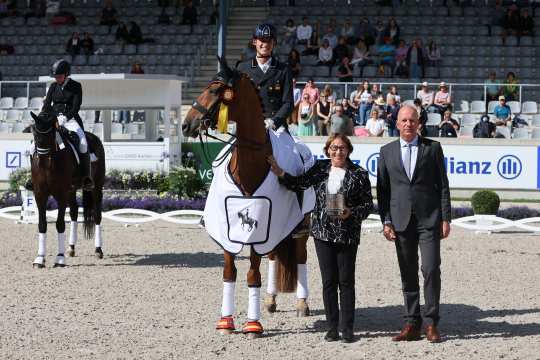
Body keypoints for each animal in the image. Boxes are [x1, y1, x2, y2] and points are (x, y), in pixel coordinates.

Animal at [29, 111, 105, 268]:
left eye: (51, 135)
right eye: (35, 135)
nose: (42, 163)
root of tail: (93, 137)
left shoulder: (61, 194)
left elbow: (59, 224)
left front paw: (59, 258)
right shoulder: (40, 194)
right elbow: (42, 224)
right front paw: (39, 258)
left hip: (97, 187)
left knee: (97, 216)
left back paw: (98, 250)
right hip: (71, 190)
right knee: (74, 212)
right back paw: (71, 248)